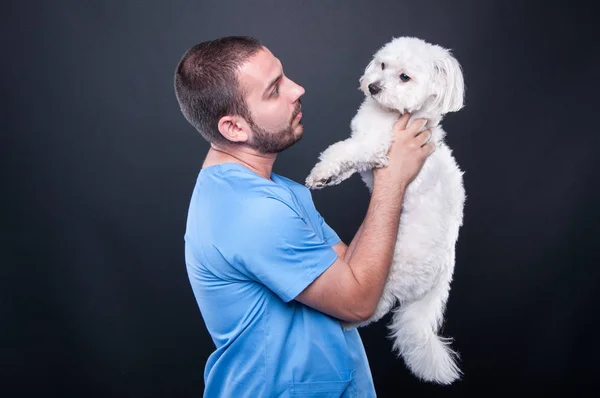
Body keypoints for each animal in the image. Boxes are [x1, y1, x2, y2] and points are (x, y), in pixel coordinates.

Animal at [308, 37, 466, 386]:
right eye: (382, 65)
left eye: (404, 77)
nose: (374, 87)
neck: (391, 114)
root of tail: (445, 272)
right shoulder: (366, 150)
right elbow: (345, 159)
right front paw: (327, 178)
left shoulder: (376, 146)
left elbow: (344, 151)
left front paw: (322, 172)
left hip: (391, 273)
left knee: (371, 309)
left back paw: (341, 323)